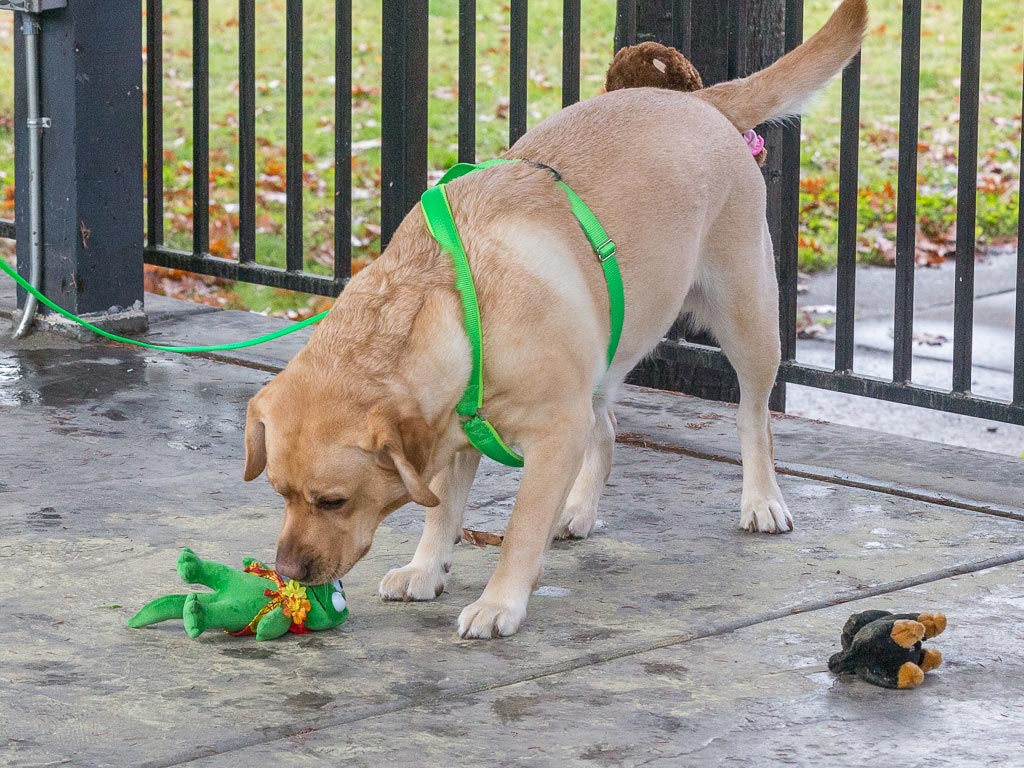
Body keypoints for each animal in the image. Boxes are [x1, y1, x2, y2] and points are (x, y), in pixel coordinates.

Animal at [242, 0, 868, 639]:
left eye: (334, 500)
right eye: (280, 492)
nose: (285, 569)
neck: (458, 309)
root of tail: (701, 101)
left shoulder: (554, 434)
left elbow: (520, 528)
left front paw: (500, 602)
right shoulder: (458, 437)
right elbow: (442, 512)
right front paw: (426, 567)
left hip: (749, 320)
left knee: (753, 417)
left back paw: (761, 499)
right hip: (607, 355)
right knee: (610, 430)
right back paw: (579, 509)